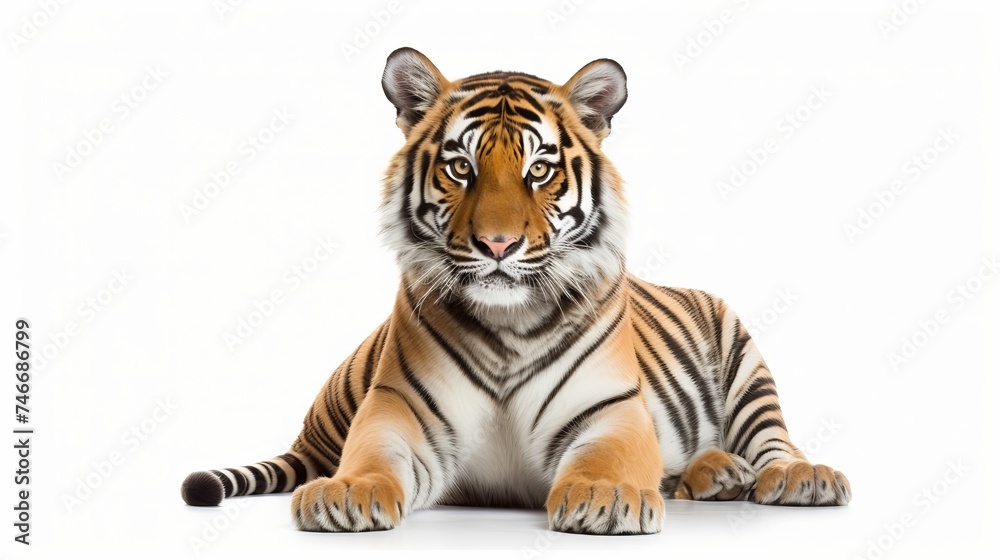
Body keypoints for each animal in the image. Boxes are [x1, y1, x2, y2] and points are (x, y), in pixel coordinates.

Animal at [181, 47, 851, 535]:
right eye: (461, 167)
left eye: (540, 170)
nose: (497, 244)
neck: (510, 326)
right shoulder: (400, 406)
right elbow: (372, 453)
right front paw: (349, 492)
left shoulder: (610, 409)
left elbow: (611, 459)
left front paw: (604, 496)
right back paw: (717, 474)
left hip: (744, 360)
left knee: (773, 439)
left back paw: (796, 477)